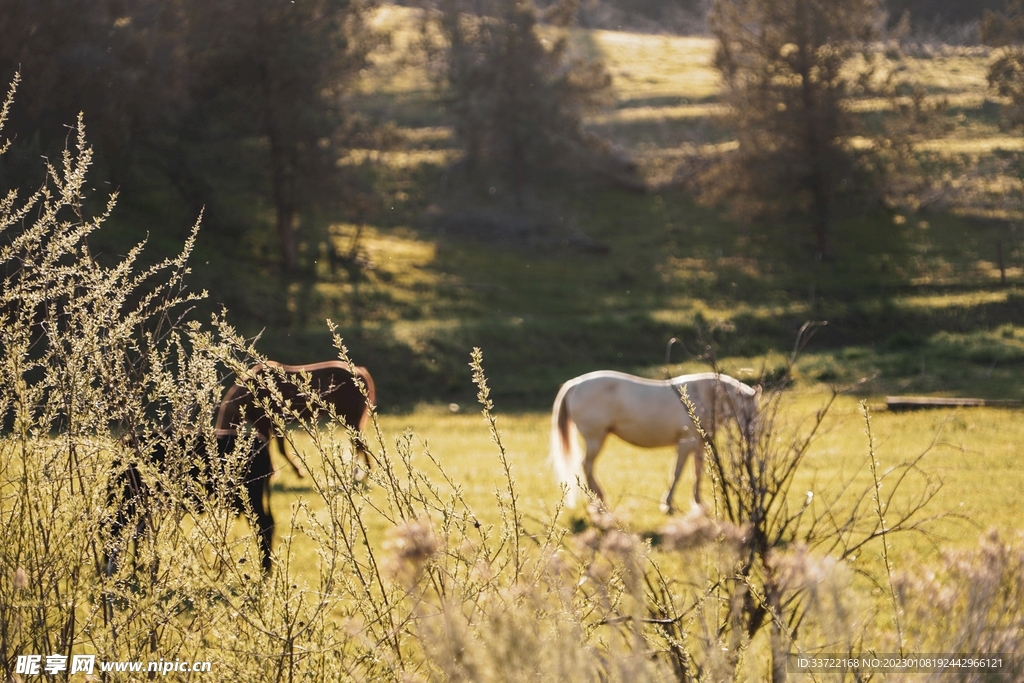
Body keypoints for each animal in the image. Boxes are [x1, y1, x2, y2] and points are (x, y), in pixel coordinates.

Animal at [213, 360, 377, 478]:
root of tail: (359, 371)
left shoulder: (270, 424)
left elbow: (278, 449)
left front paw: (294, 472)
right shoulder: (267, 426)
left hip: (351, 420)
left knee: (360, 443)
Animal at [549, 371, 761, 514]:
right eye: (747, 410)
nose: (752, 437)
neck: (702, 396)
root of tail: (575, 384)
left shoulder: (700, 445)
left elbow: (698, 472)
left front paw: (698, 503)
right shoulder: (686, 444)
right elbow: (677, 473)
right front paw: (667, 504)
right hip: (595, 438)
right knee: (587, 465)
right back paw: (600, 502)